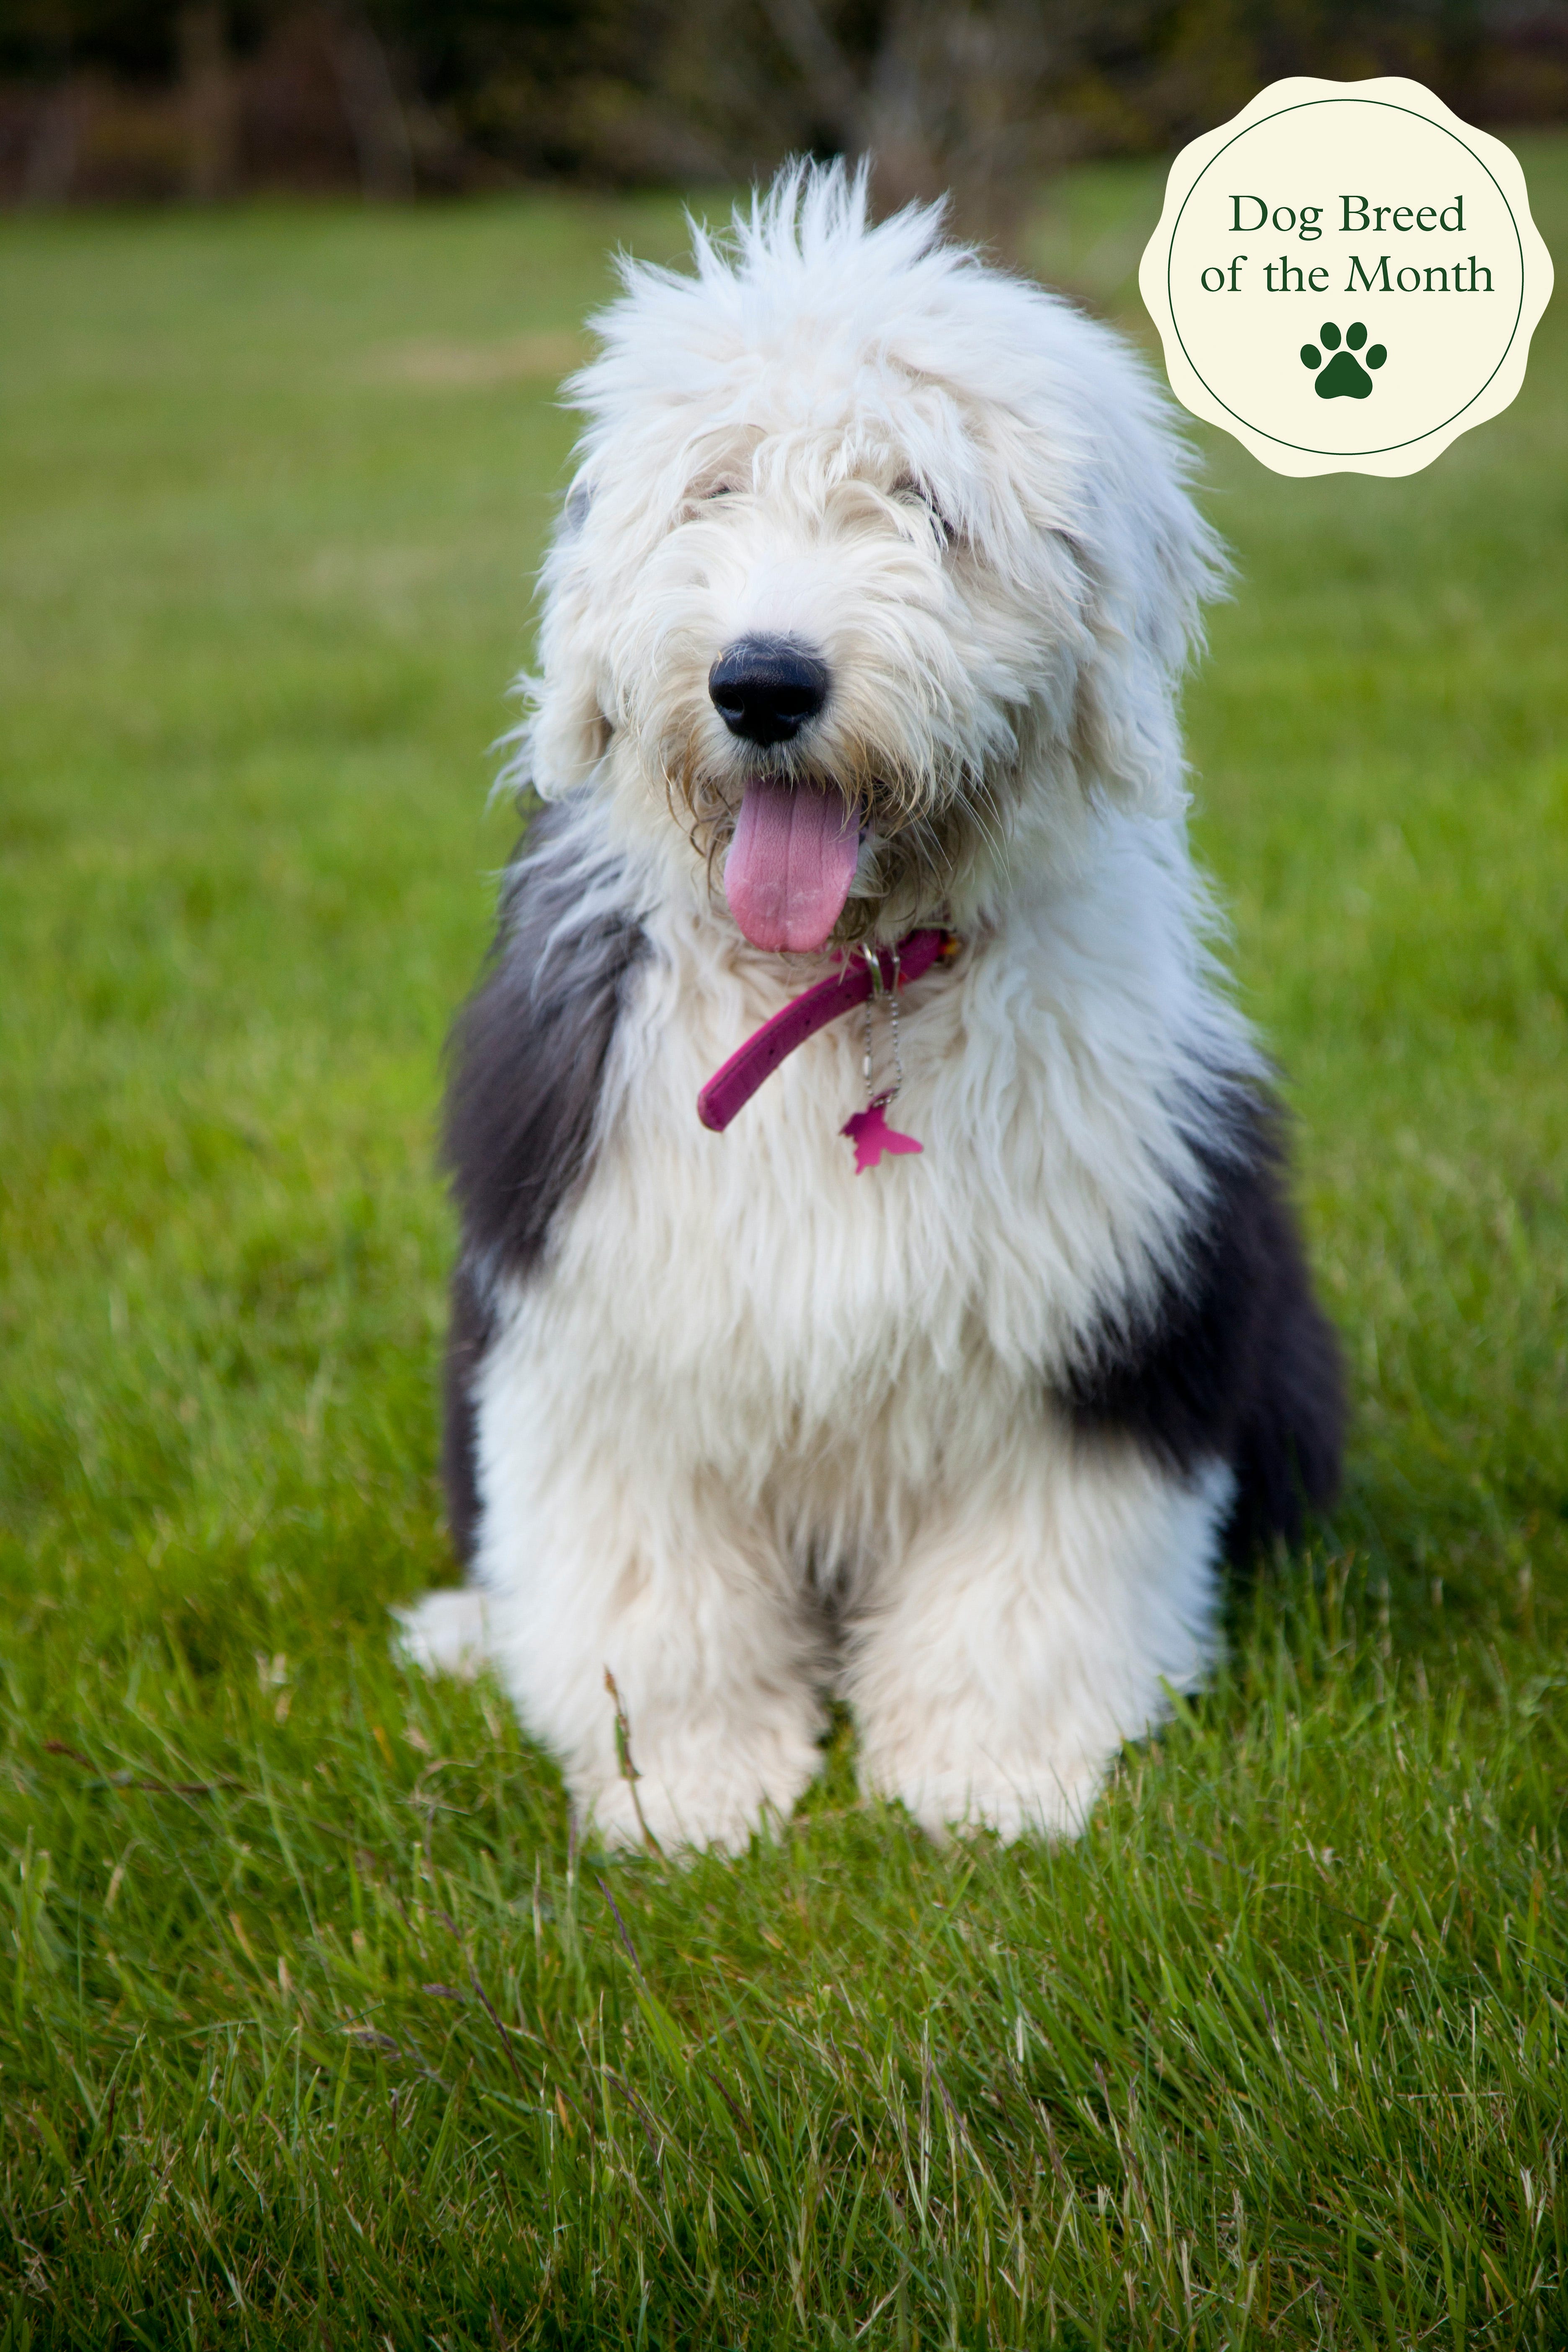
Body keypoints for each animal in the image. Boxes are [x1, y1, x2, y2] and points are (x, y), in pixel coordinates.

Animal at [400, 161, 1344, 1853]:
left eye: (926, 508)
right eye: (711, 492)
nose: (765, 683)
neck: (836, 996)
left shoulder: (1094, 1318)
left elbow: (1028, 1580)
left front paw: (989, 1779)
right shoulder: (603, 1314)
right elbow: (649, 1590)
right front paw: (690, 1790)